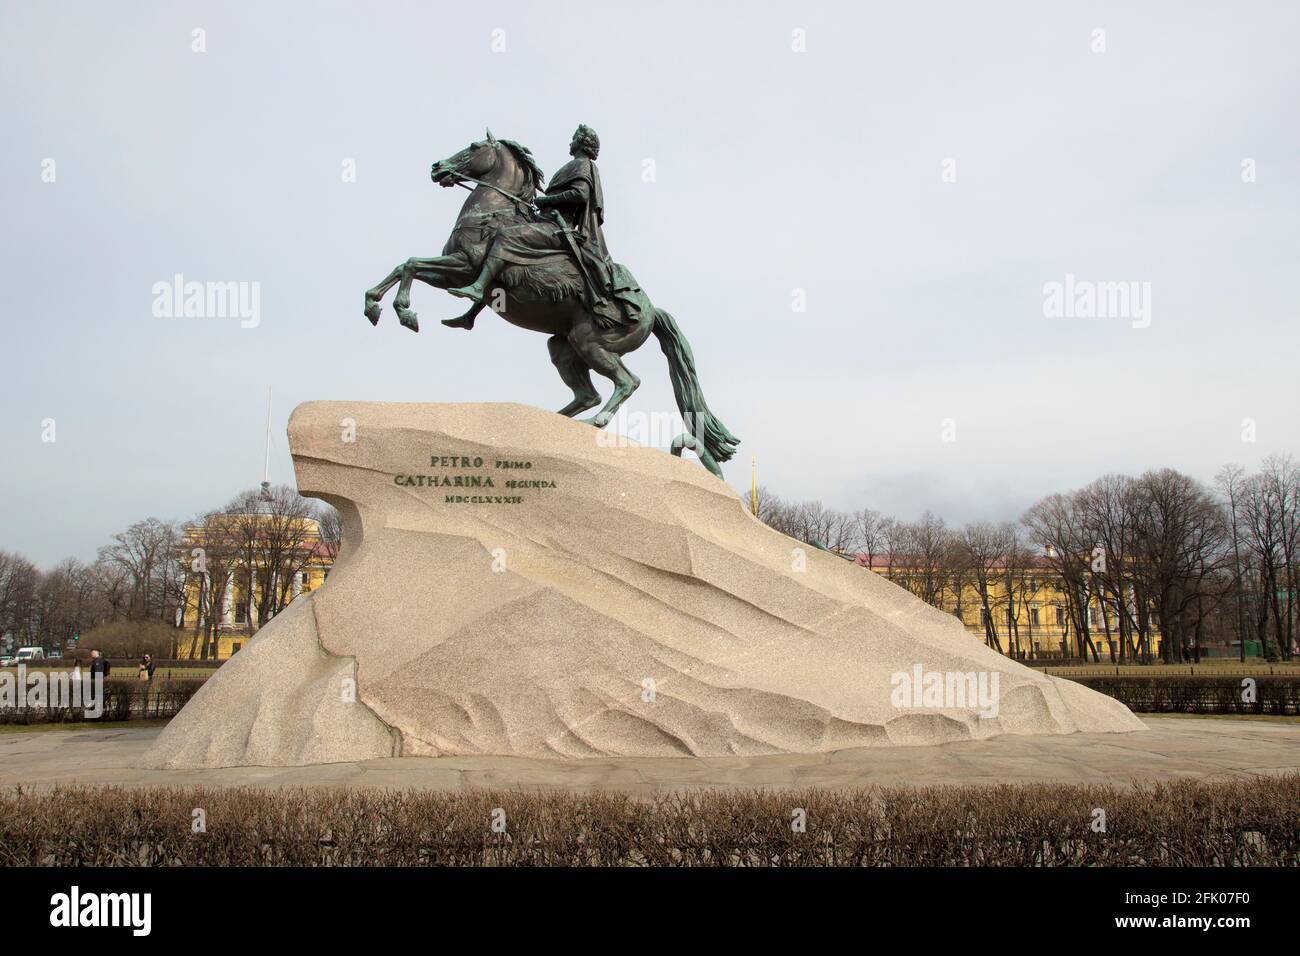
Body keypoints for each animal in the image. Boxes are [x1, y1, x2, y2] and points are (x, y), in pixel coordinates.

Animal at [364, 128, 743, 478]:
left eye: (473, 147)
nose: (437, 167)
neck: (494, 212)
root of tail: (652, 311)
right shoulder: (451, 271)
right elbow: (406, 265)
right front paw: (374, 305)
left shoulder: (463, 267)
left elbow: (415, 265)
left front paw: (405, 311)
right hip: (563, 345)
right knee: (587, 393)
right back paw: (553, 423)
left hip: (591, 343)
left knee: (626, 381)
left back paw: (595, 422)